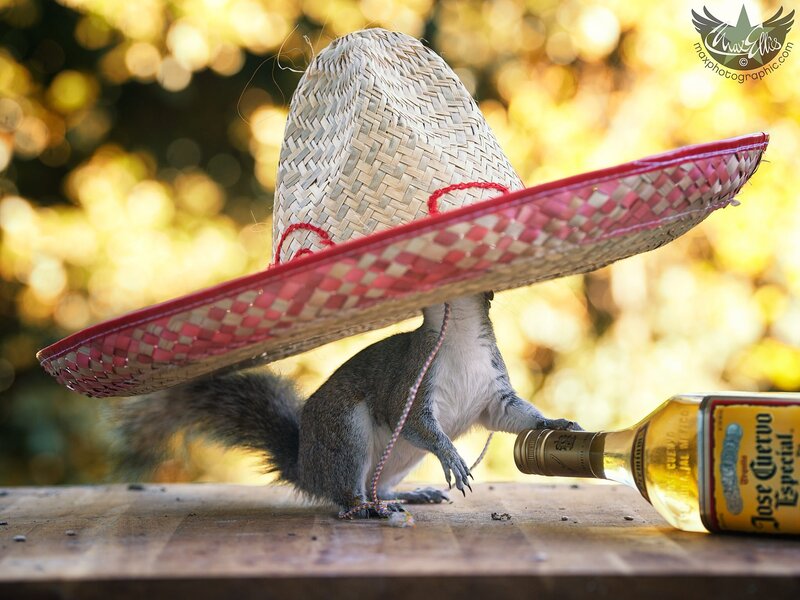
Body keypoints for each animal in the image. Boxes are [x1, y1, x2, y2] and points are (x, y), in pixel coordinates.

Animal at [114, 292, 581, 517]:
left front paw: (555, 424)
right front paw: (451, 456)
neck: (460, 337)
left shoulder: (493, 392)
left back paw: (410, 495)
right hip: (345, 431)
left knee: (380, 486)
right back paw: (365, 509)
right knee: (344, 496)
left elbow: (516, 416)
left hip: (395, 461)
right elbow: (416, 424)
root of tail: (306, 468)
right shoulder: (408, 386)